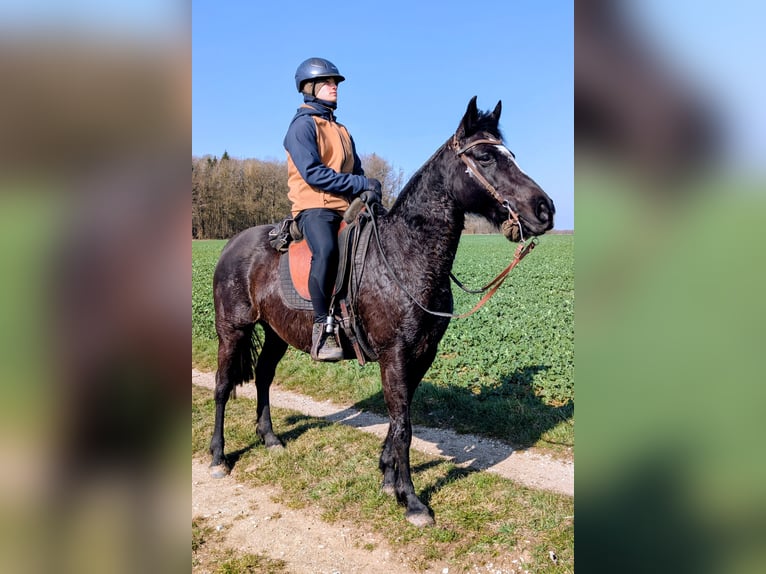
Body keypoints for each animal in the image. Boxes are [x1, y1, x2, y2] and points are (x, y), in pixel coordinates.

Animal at [209, 96, 555, 526]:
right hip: (232, 330)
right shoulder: (395, 354)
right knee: (223, 386)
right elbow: (403, 425)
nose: (545, 209)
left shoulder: (421, 354)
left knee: (263, 377)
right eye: (486, 156)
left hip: (276, 333)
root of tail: (231, 244)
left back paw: (270, 438)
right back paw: (218, 456)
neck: (406, 253)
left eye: (511, 154)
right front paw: (412, 501)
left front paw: (389, 479)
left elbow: (399, 418)